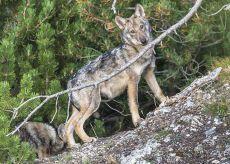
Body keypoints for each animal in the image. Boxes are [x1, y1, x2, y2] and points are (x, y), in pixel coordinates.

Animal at [65, 3, 166, 147]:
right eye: (132, 32)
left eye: (141, 26)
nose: (144, 40)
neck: (140, 52)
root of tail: (69, 82)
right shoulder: (133, 80)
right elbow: (134, 103)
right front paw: (137, 121)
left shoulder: (148, 73)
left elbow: (158, 91)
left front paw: (168, 101)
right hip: (93, 104)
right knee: (77, 125)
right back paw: (88, 140)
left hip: (81, 109)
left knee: (67, 126)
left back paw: (74, 146)